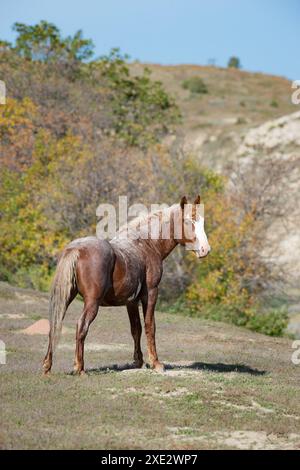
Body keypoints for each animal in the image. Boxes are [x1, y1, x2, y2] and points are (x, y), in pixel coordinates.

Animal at [42, 195, 211, 374]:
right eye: (188, 221)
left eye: (202, 221)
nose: (205, 249)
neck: (146, 244)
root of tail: (76, 249)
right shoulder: (151, 294)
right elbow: (150, 326)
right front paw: (156, 363)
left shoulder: (131, 302)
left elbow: (136, 329)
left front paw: (138, 361)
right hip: (92, 303)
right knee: (81, 326)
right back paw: (79, 368)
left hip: (66, 297)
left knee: (54, 324)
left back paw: (47, 366)